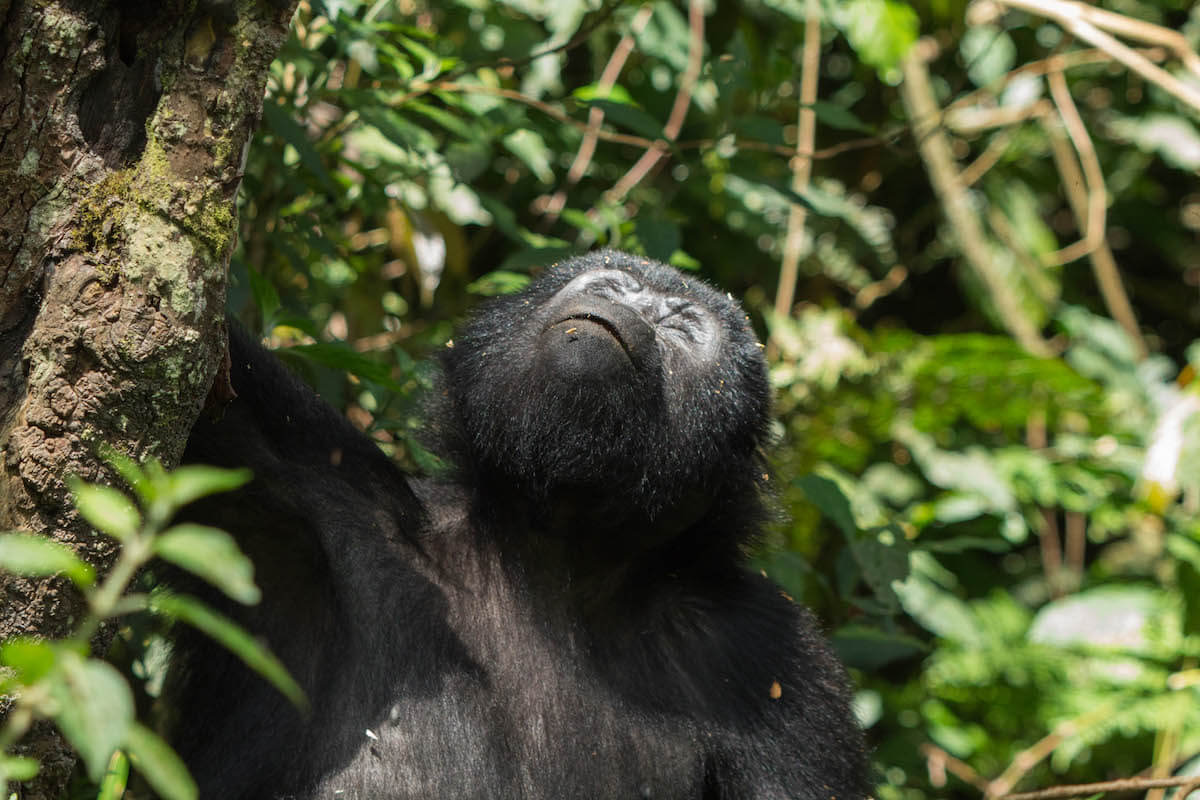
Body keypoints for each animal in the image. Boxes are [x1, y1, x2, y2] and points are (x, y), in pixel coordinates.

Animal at [169, 251, 868, 800]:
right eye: (612, 281)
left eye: (682, 326)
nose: (631, 305)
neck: (556, 561)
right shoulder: (310, 492)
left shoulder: (776, 660)